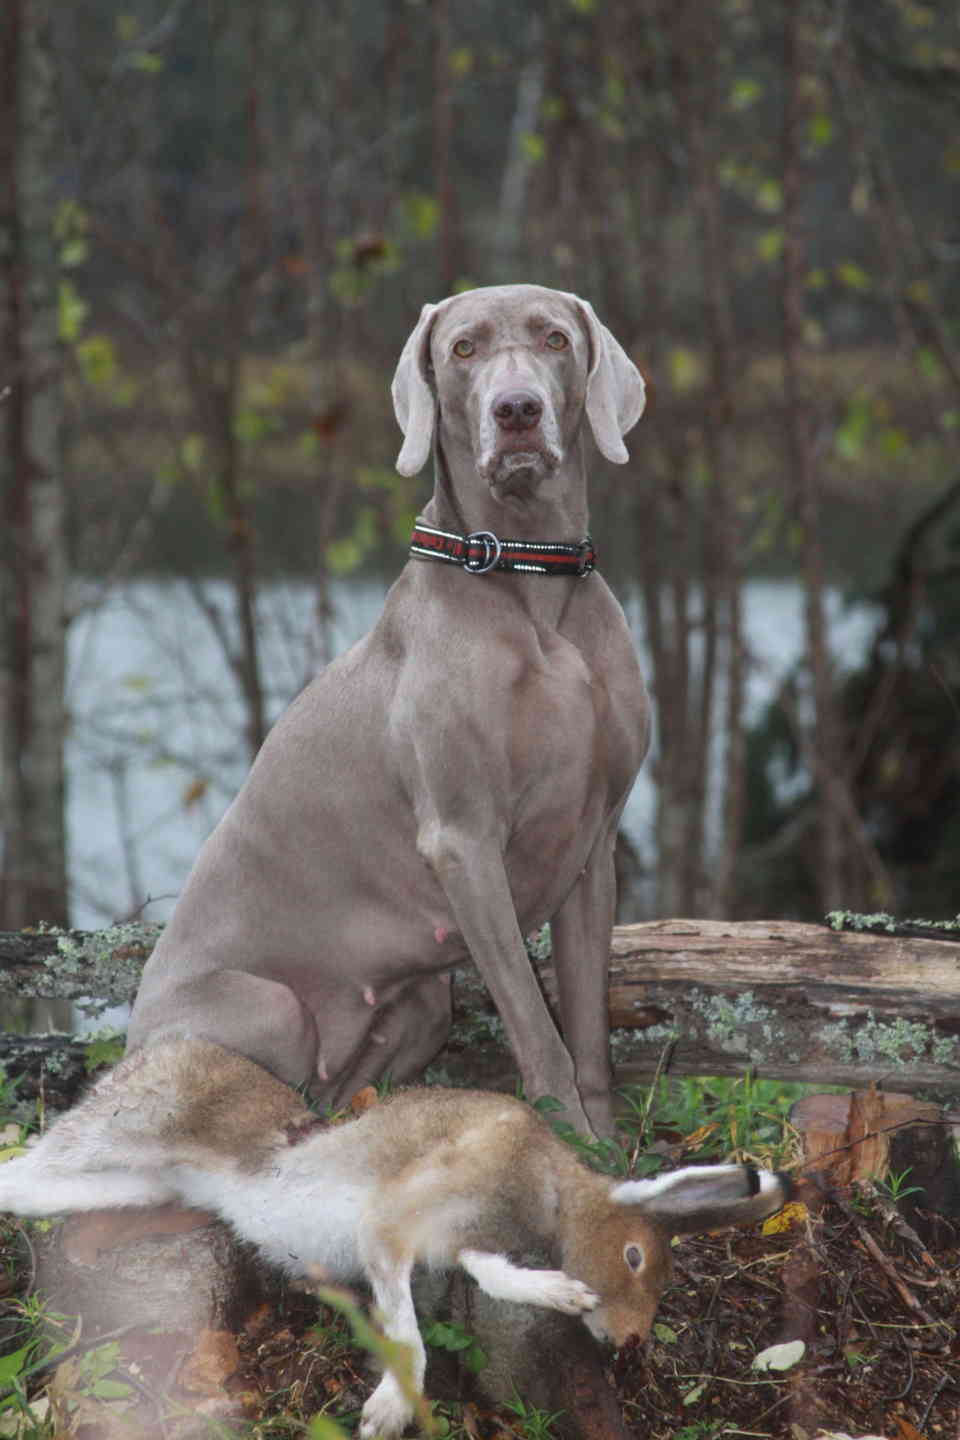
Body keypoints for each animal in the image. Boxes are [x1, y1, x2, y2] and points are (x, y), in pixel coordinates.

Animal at [127, 283, 650, 1134]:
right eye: (463, 349)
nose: (516, 410)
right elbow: (540, 1032)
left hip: (421, 1008)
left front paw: (608, 1145)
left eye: (555, 339)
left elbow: (590, 1035)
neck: (528, 574)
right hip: (267, 1010)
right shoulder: (463, 840)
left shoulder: (593, 847)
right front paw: (566, 1139)